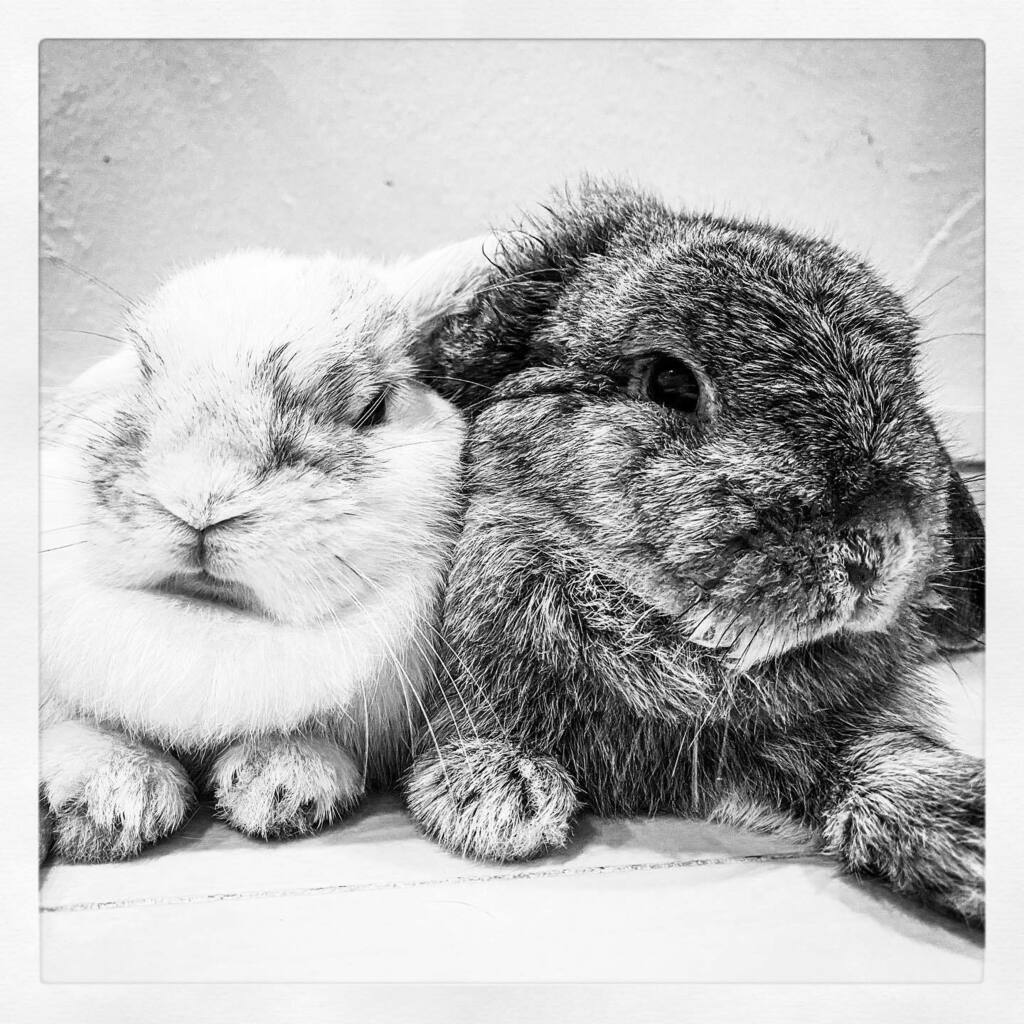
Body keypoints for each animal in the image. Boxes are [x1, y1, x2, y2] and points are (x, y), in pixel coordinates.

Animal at [404, 182, 986, 928]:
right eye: (670, 382)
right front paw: (500, 798)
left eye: (904, 375)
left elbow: (878, 763)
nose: (878, 545)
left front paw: (968, 830)